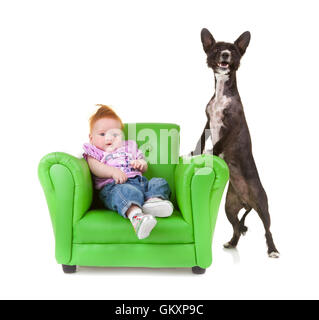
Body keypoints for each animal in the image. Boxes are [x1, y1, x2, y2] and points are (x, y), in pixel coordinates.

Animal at [192, 29, 280, 258]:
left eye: (232, 49)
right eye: (216, 49)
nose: (225, 54)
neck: (221, 92)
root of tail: (246, 202)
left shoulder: (232, 127)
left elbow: (218, 144)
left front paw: (210, 154)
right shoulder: (207, 121)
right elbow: (200, 139)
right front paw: (193, 154)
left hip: (262, 205)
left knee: (268, 229)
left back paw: (273, 250)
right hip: (229, 208)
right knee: (237, 228)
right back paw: (232, 242)